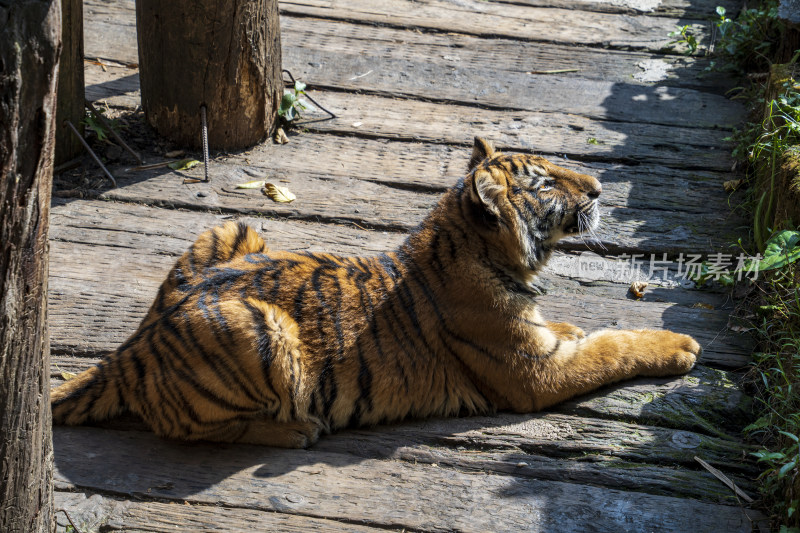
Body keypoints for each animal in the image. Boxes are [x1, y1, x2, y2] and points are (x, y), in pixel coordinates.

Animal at [51, 138, 700, 448]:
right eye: (544, 183)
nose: (599, 187)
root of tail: (133, 346)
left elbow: (577, 334)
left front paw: (569, 324)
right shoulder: (535, 374)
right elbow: (611, 347)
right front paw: (679, 346)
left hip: (235, 228)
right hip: (258, 327)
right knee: (185, 430)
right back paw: (295, 431)